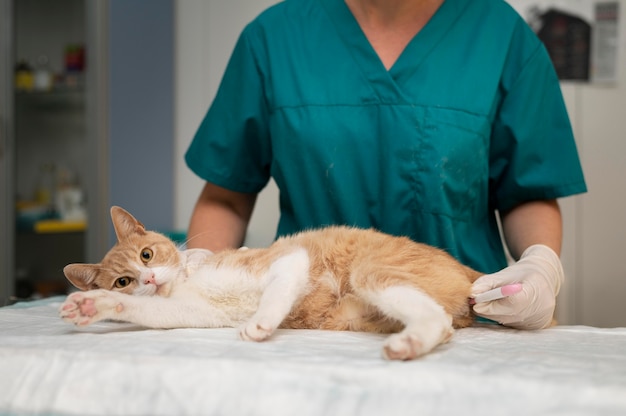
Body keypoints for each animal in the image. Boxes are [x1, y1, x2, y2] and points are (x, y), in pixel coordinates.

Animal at [59, 206, 478, 360]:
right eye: (123, 281)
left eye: (146, 254)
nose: (147, 277)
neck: (187, 281)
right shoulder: (190, 311)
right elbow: (145, 309)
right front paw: (91, 305)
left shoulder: (290, 259)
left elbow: (276, 293)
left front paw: (261, 322)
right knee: (444, 326)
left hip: (371, 272)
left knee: (437, 320)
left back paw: (408, 343)